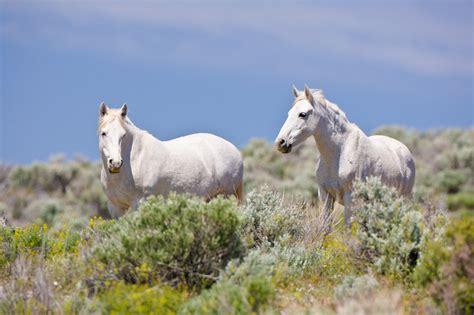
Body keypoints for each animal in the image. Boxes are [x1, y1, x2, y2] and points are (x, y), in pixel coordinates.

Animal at [97, 102, 243, 218]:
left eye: (123, 135)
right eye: (104, 133)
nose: (116, 163)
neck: (134, 159)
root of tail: (235, 151)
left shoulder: (140, 203)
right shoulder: (115, 208)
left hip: (227, 195)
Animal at [274, 85, 414, 226]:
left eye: (302, 114)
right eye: (289, 113)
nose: (280, 142)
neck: (338, 153)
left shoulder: (349, 198)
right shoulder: (326, 196)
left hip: (402, 201)